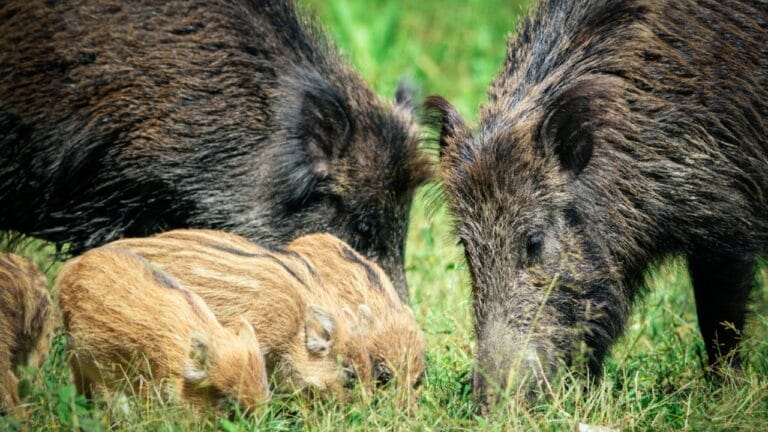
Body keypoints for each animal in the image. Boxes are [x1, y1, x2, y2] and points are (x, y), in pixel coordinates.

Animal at [425, 0, 768, 405]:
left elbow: (719, 321)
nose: (489, 404)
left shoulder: (728, 223)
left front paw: (725, 396)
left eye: (534, 241)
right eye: (466, 246)